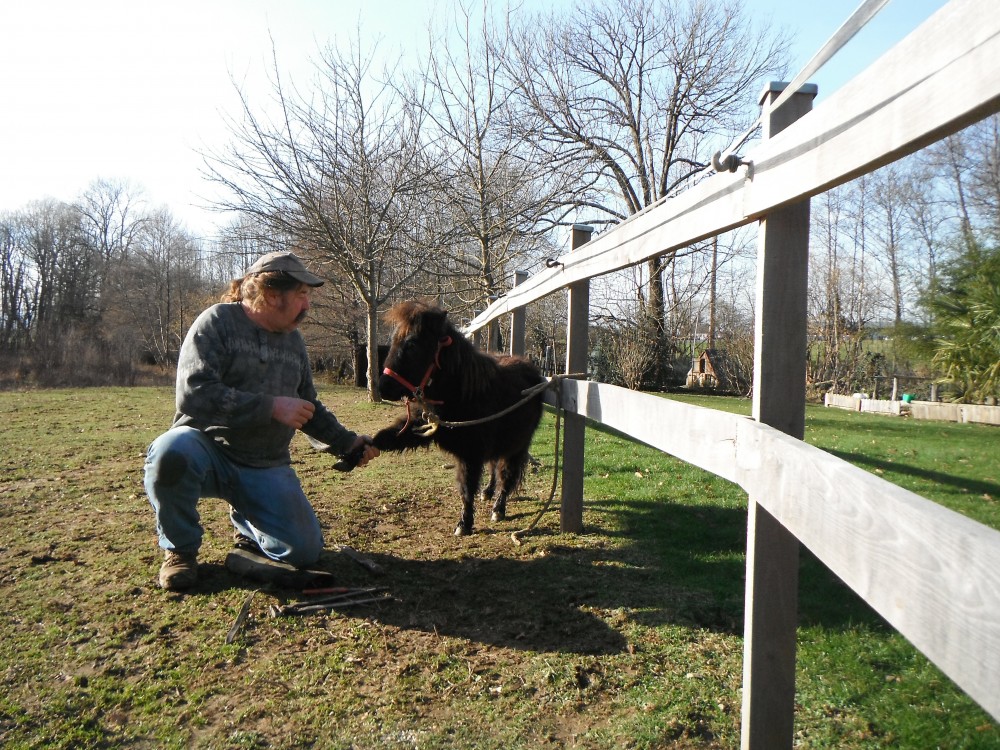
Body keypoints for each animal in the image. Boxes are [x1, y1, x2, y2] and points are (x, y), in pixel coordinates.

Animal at [374, 300, 544, 536]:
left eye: (412, 345)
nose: (383, 387)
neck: (461, 393)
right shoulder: (423, 425)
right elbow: (390, 437)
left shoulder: (470, 453)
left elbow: (466, 488)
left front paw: (464, 524)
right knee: (493, 466)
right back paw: (487, 492)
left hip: (517, 446)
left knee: (506, 475)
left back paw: (498, 509)